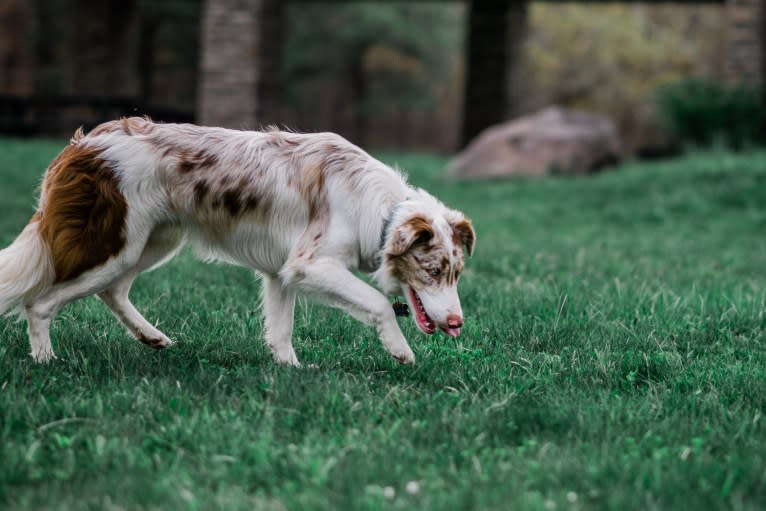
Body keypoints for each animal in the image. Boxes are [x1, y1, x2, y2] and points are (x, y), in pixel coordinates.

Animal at [0, 117, 476, 364]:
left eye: (455, 275)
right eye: (432, 271)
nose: (457, 324)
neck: (382, 212)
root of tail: (83, 144)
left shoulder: (283, 273)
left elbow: (281, 330)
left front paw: (290, 370)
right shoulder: (310, 264)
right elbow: (378, 302)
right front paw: (400, 350)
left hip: (149, 243)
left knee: (113, 292)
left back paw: (151, 337)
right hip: (111, 245)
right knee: (39, 303)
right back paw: (45, 361)